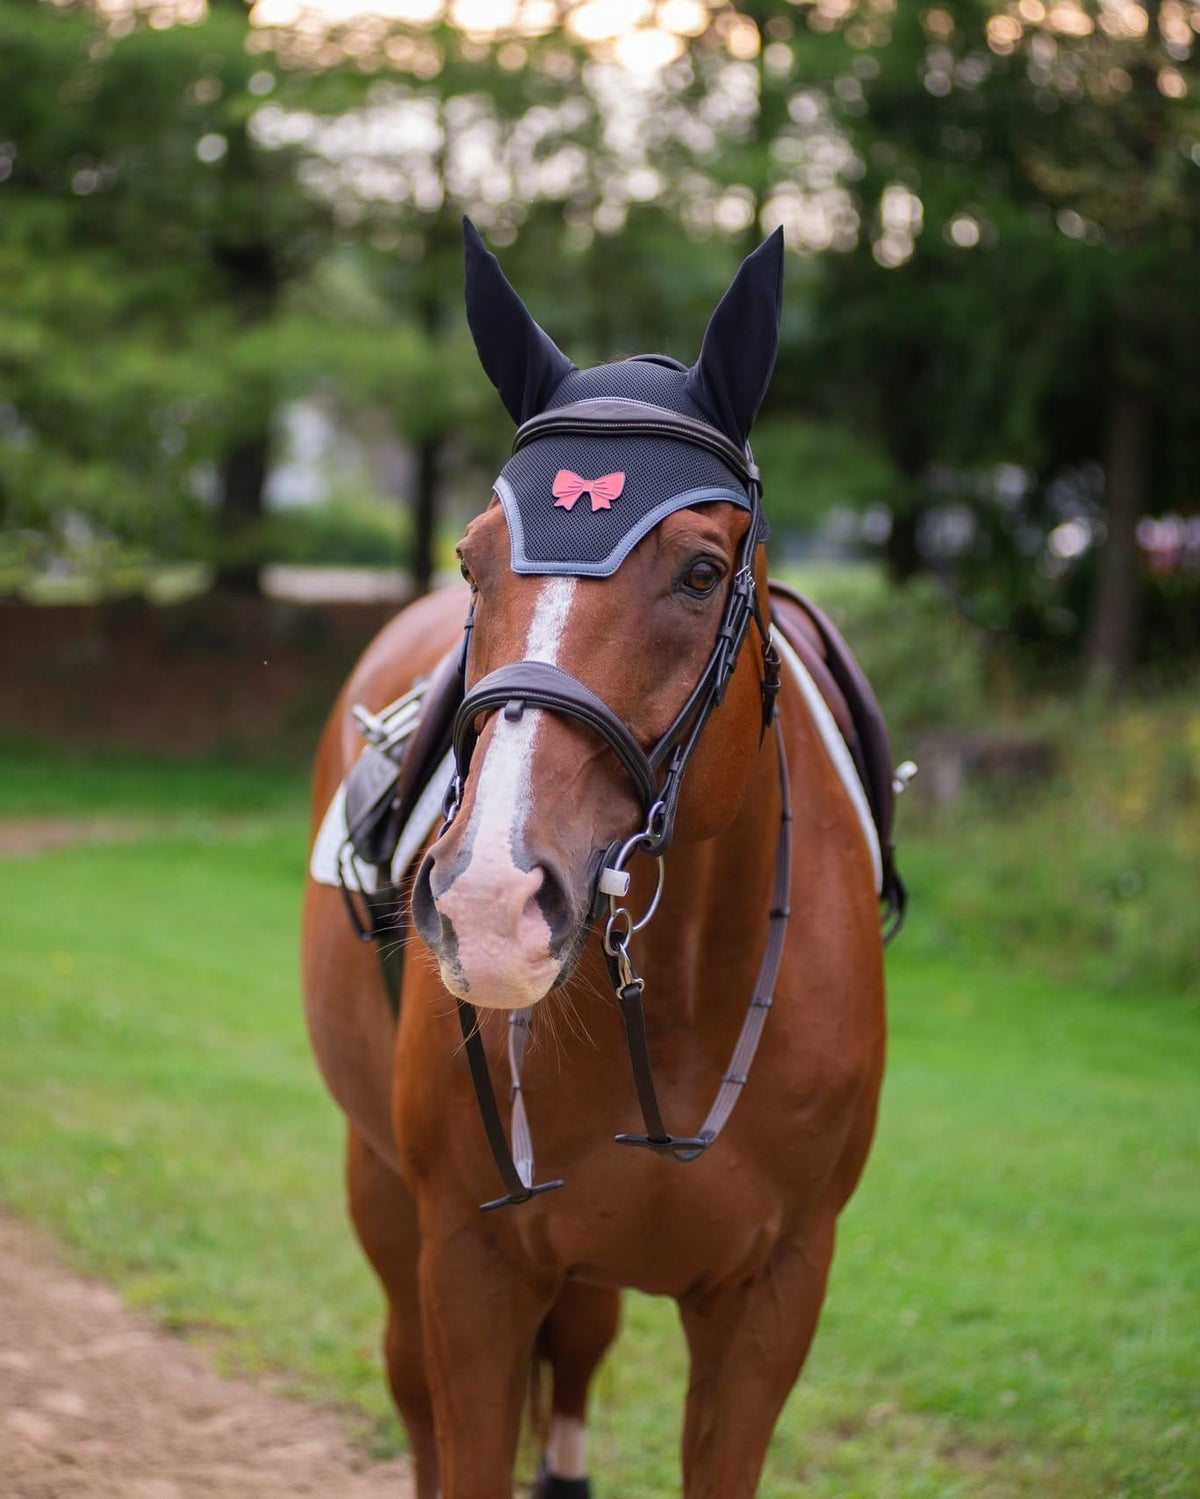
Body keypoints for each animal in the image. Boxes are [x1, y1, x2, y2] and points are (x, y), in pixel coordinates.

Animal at [301, 221, 888, 1499]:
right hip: (380, 1189)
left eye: (701, 571)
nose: (490, 900)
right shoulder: (469, 1264)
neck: (678, 997)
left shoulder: (774, 1293)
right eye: (473, 559)